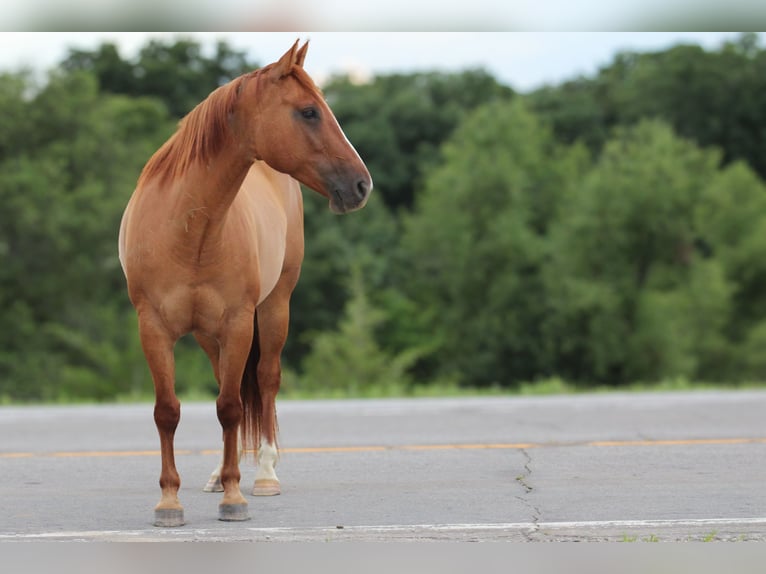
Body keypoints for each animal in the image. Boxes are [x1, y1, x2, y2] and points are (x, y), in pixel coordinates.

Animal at [118, 40, 372, 527]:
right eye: (309, 111)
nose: (361, 185)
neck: (190, 231)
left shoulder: (238, 322)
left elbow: (232, 406)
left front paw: (235, 498)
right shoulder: (152, 327)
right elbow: (169, 411)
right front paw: (169, 501)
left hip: (273, 309)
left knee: (265, 381)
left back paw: (265, 474)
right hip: (208, 334)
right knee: (226, 383)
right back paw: (219, 473)